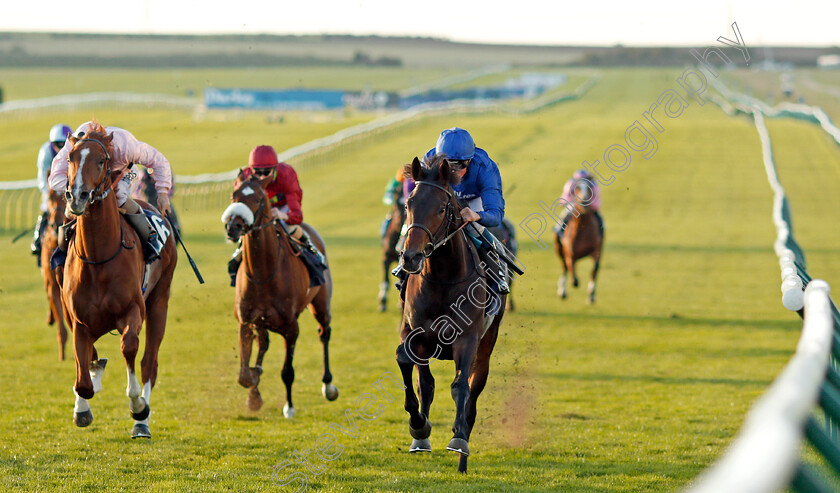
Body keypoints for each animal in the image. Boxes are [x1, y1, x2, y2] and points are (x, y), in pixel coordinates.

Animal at [226, 171, 342, 414]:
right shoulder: (247, 321)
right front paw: (254, 388)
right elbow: (244, 374)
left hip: (321, 304)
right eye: (234, 195)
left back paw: (328, 386)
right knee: (264, 343)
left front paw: (289, 407)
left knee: (324, 332)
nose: (233, 226)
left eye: (258, 199)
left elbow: (287, 371)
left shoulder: (291, 327)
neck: (263, 274)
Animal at [396, 156, 506, 474]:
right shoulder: (413, 332)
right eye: (408, 204)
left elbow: (460, 387)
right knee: (427, 384)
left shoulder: (467, 340)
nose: (411, 257)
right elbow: (412, 370)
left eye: (442, 208)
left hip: (487, 343)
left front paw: (458, 439)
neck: (442, 279)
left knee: (473, 390)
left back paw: (462, 456)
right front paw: (419, 428)